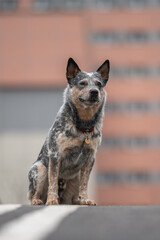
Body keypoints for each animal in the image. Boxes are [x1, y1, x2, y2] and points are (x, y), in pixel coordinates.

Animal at [27, 57, 110, 205]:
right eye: (82, 83)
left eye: (99, 84)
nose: (94, 91)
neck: (83, 126)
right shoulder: (55, 154)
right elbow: (53, 181)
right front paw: (52, 200)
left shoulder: (90, 157)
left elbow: (84, 183)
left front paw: (86, 199)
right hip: (39, 169)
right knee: (33, 195)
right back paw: (38, 200)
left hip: (75, 177)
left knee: (73, 197)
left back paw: (79, 200)